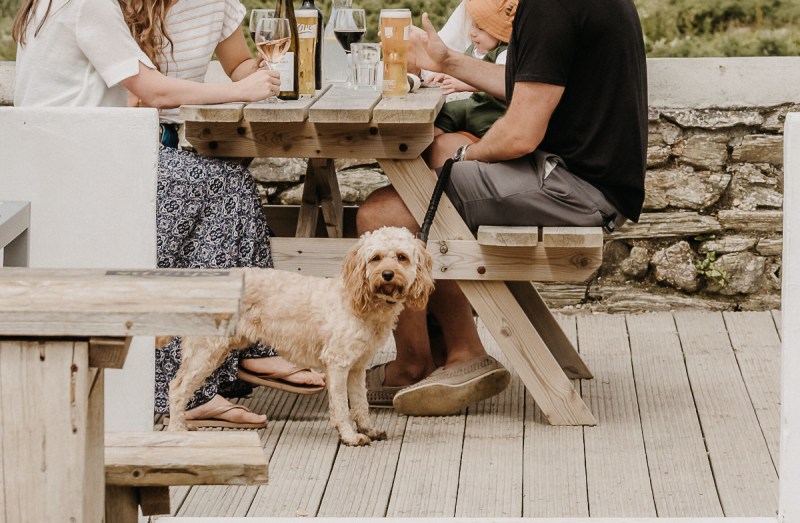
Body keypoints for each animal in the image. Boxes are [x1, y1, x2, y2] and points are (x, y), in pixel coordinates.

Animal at [165, 225, 434, 446]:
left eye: (402, 257)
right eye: (376, 258)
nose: (387, 274)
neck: (361, 304)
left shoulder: (357, 367)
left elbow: (360, 403)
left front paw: (368, 430)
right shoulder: (337, 363)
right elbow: (341, 406)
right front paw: (349, 435)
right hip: (206, 350)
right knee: (177, 388)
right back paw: (178, 430)